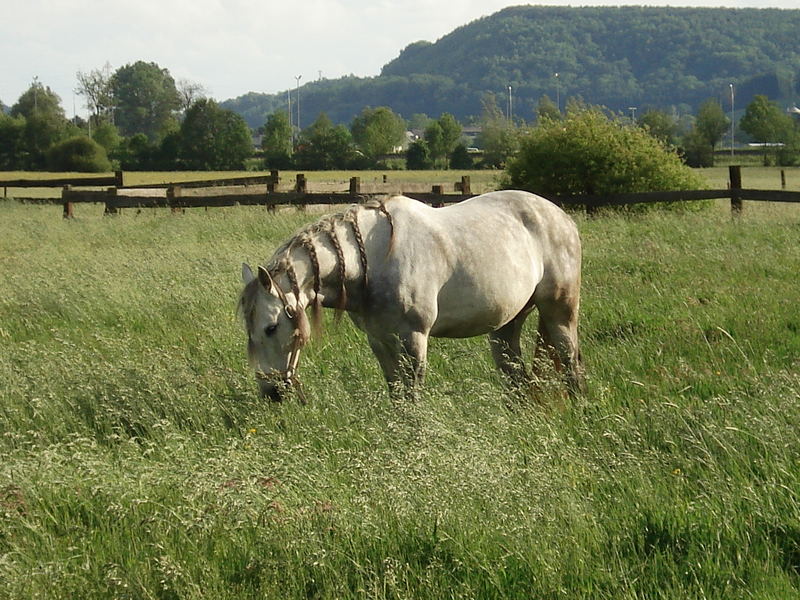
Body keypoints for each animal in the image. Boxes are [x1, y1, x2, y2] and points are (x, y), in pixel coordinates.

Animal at [238, 190, 580, 400]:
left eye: (271, 327)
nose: (271, 392)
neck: (373, 260)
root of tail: (561, 216)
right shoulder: (379, 340)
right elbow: (396, 395)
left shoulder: (413, 338)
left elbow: (412, 394)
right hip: (506, 324)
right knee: (516, 377)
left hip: (560, 312)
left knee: (571, 361)